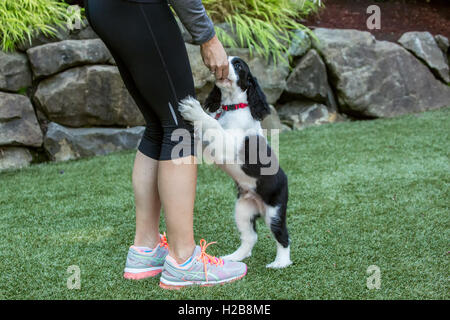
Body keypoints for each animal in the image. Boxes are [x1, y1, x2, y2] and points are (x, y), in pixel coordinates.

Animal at [176, 55, 292, 268]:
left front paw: (194, 109)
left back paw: (280, 263)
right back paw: (234, 257)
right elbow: (205, 132)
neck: (231, 107)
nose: (217, 67)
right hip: (243, 210)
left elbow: (213, 124)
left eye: (238, 65)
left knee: (282, 235)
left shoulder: (229, 144)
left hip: (275, 210)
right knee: (250, 237)